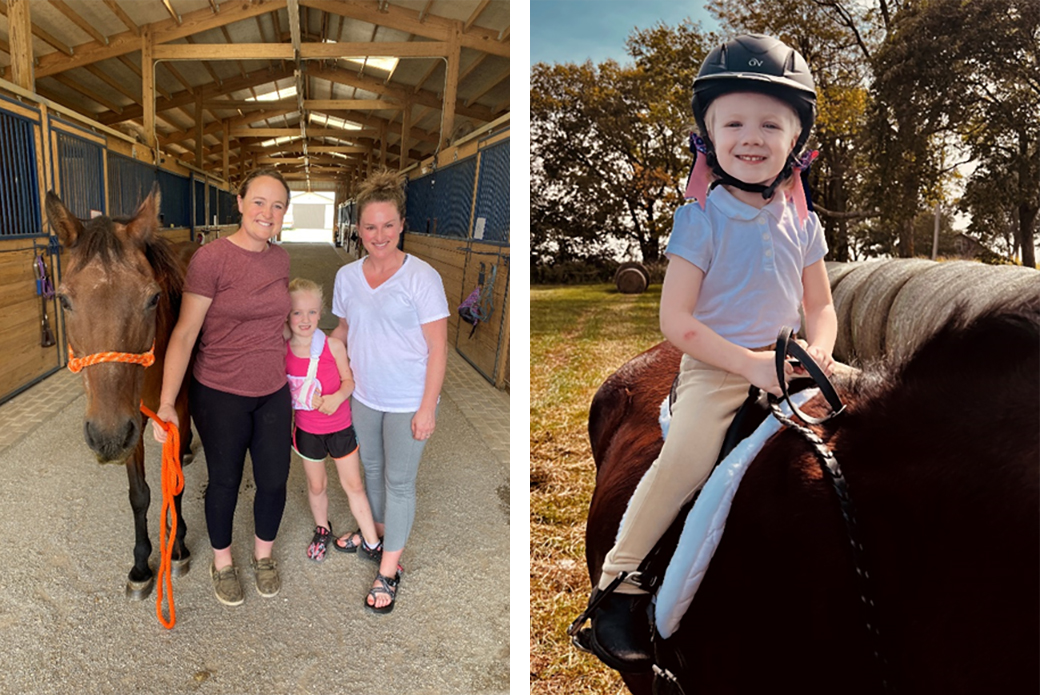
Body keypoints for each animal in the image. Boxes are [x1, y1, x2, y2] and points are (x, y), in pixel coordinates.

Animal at [48, 187, 195, 599]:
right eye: (64, 299)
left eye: (153, 298)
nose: (107, 436)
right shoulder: (134, 423)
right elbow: (139, 494)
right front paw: (142, 566)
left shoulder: (175, 411)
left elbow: (174, 485)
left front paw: (178, 547)